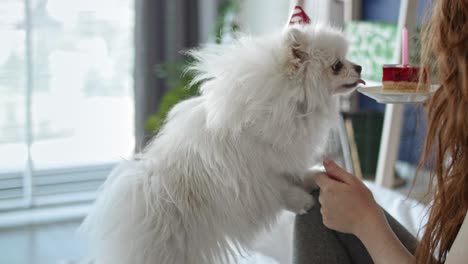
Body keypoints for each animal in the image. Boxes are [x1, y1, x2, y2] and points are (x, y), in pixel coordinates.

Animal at [81, 24, 366, 264]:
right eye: (337, 65)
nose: (360, 67)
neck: (290, 105)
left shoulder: (282, 156)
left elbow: (293, 173)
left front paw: (314, 177)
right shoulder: (253, 174)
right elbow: (277, 189)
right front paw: (302, 200)